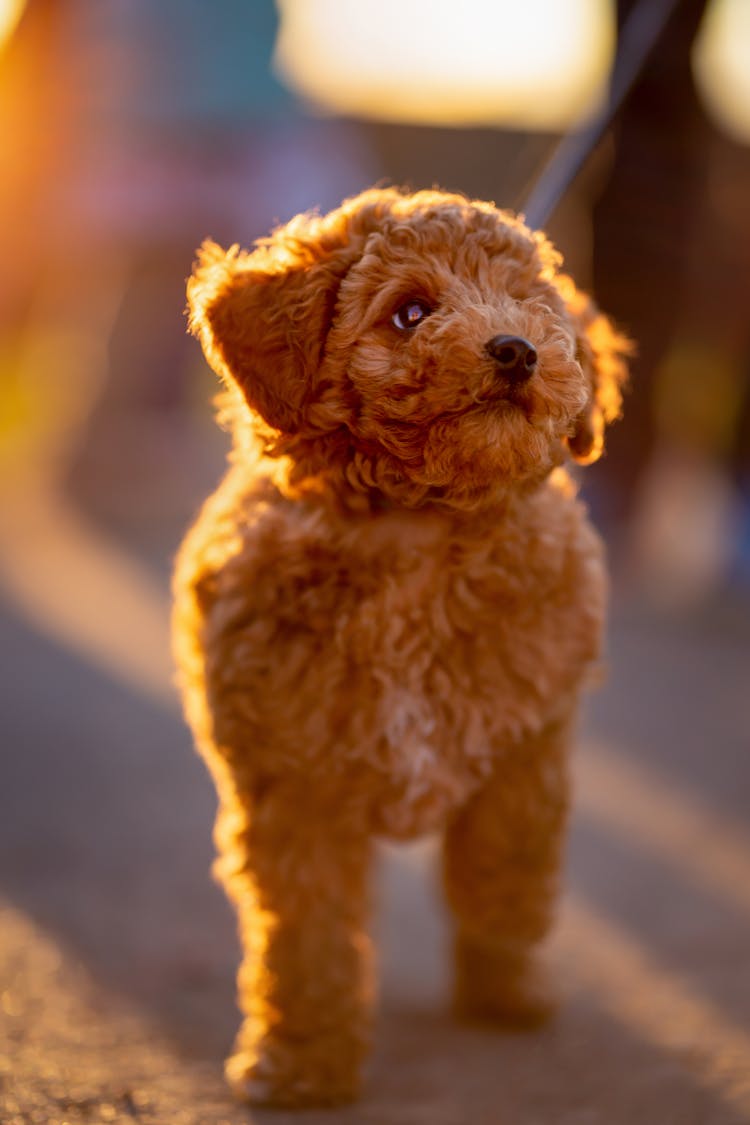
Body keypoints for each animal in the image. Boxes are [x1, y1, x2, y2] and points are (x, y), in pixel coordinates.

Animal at [173, 186, 629, 1107]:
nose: (517, 349)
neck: (418, 527)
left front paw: (506, 942)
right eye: (410, 312)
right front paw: (304, 1061)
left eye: (530, 303)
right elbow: (306, 928)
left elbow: (510, 850)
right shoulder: (292, 780)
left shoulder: (535, 730)